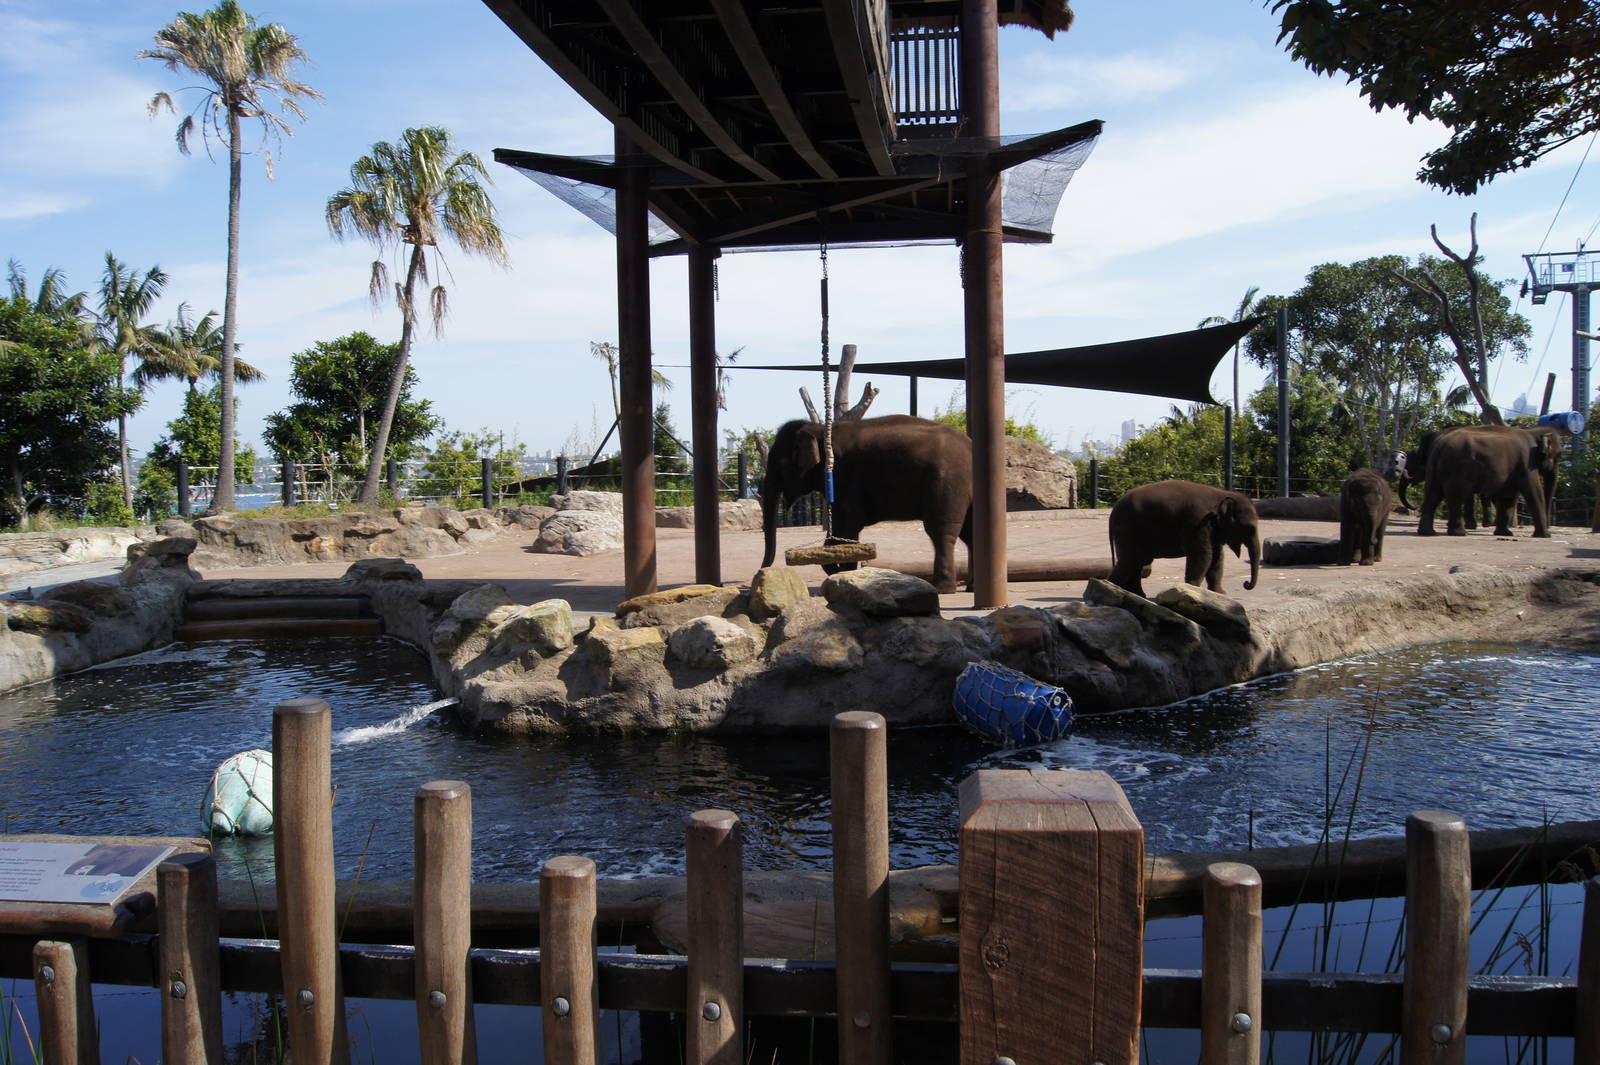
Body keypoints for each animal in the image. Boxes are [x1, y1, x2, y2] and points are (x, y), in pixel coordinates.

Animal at [758, 415, 973, 593]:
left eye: (780, 464)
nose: (762, 571)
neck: (819, 430)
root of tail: (970, 444)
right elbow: (842, 532)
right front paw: (841, 570)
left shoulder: (844, 477)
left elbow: (845, 527)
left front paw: (843, 572)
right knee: (970, 532)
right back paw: (970, 587)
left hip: (946, 481)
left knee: (941, 531)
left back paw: (942, 589)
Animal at [1107, 479, 1261, 597]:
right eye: (1250, 529)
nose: (1246, 584)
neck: (1222, 494)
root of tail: (1113, 511)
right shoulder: (1197, 523)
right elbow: (1203, 555)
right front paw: (1191, 589)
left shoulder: (1212, 528)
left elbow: (1217, 558)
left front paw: (1220, 594)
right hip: (1127, 530)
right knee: (1130, 561)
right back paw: (1112, 589)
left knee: (1138, 562)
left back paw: (1136, 595)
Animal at [1417, 425, 1558, 537]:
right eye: (1558, 455)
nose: (1550, 529)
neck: (1533, 432)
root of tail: (1440, 443)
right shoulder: (1527, 462)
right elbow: (1533, 492)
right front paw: (1545, 536)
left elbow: (1507, 496)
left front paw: (1505, 533)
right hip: (1457, 468)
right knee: (1455, 495)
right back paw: (1460, 533)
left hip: (1436, 467)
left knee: (1434, 493)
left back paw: (1428, 532)